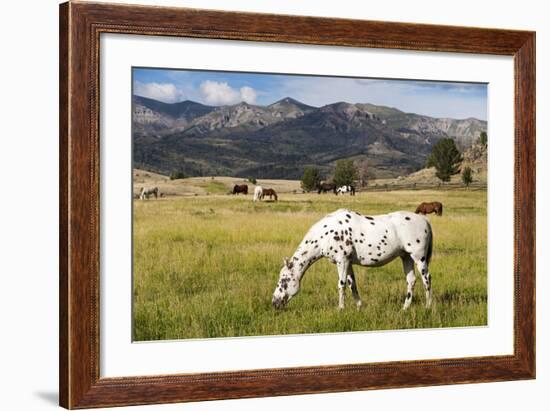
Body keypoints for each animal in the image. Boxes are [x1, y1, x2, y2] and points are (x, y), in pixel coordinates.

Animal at [272, 211, 436, 310]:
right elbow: (352, 285)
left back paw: (428, 307)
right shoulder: (348, 263)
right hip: (406, 257)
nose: (274, 302)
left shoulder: (342, 261)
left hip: (418, 257)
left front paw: (341, 309)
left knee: (426, 278)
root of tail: (425, 220)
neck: (325, 234)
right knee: (411, 280)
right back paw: (405, 308)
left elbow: (341, 285)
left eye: (284, 280)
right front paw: (359, 307)